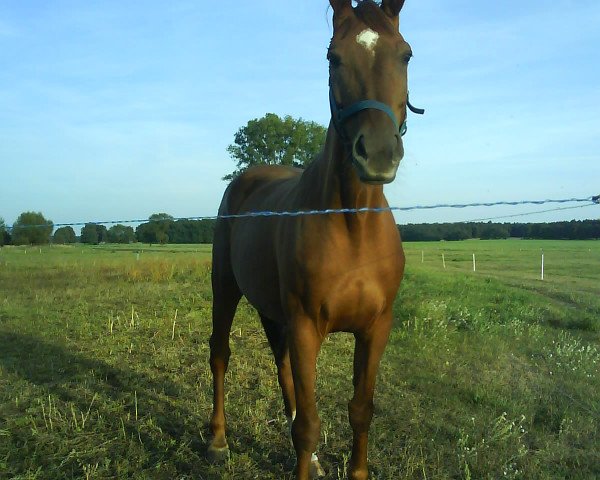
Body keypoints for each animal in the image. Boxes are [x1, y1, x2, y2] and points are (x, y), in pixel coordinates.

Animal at [207, 0, 422, 480]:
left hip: (274, 312)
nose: (377, 153)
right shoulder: (306, 325)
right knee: (220, 354)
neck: (352, 225)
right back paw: (216, 439)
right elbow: (307, 424)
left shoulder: (376, 328)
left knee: (283, 369)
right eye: (333, 57)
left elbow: (360, 409)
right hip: (226, 289)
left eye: (405, 54)